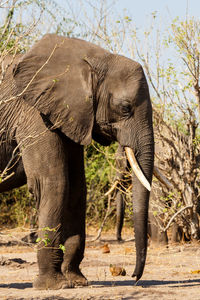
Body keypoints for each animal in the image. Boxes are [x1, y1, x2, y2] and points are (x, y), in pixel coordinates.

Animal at [0, 34, 154, 290]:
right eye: (125, 108)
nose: (134, 277)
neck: (92, 59)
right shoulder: (34, 113)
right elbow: (54, 182)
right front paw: (54, 286)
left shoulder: (71, 114)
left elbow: (76, 189)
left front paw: (77, 282)